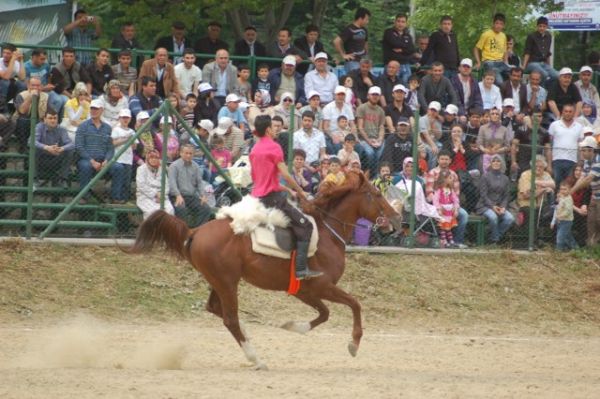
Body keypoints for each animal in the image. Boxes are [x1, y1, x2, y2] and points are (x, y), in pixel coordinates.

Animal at [131, 170, 404, 370]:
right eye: (376, 193)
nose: (398, 218)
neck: (328, 233)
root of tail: (194, 231)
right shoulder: (322, 286)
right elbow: (355, 304)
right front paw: (353, 344)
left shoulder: (305, 291)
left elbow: (325, 313)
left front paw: (295, 326)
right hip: (227, 282)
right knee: (230, 319)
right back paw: (255, 357)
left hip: (219, 281)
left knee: (216, 309)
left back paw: (248, 337)